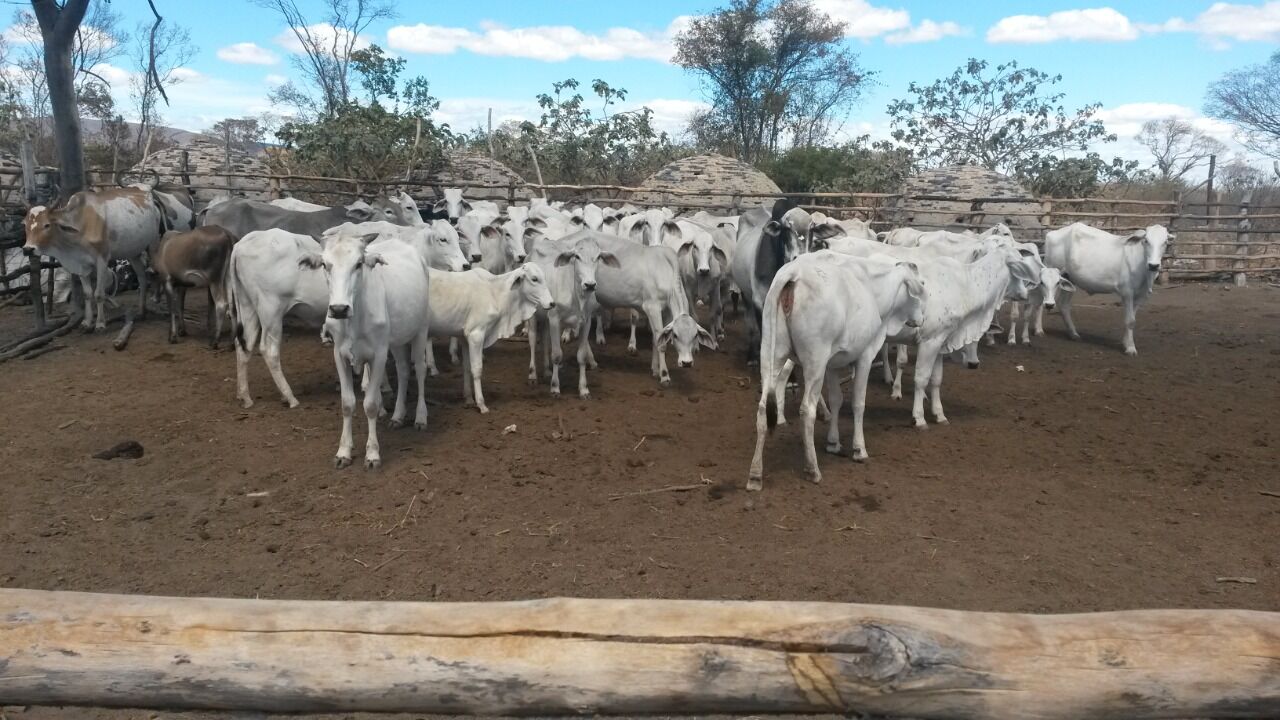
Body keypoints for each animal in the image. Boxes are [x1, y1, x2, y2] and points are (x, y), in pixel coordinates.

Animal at [309, 226, 435, 468]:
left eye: (359, 263)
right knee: (403, 370)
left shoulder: (378, 354)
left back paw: (421, 417)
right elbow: (347, 403)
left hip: (421, 329)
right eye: (325, 265)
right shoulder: (339, 354)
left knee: (420, 369)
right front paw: (343, 452)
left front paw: (372, 454)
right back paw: (398, 416)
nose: (339, 309)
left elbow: (370, 405)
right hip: (395, 339)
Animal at [430, 262, 555, 409]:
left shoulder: (464, 337)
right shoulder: (476, 335)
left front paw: (468, 398)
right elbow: (477, 369)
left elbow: (466, 367)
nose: (552, 303)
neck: (494, 291)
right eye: (534, 279)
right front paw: (481, 404)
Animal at [747, 252, 926, 486]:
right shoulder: (864, 356)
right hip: (815, 360)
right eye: (921, 285)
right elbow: (858, 403)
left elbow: (836, 400)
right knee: (806, 409)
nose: (922, 318)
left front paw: (833, 443)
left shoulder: (832, 364)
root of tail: (793, 273)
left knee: (762, 407)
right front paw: (859, 449)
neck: (872, 290)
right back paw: (812, 469)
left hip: (771, 352)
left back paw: (755, 475)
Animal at [1039, 219, 1172, 353]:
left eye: (1165, 242)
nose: (1154, 265)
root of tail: (1052, 233)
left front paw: (1126, 342)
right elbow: (1129, 320)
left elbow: (1133, 320)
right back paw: (1039, 331)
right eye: (1146, 241)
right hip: (1049, 271)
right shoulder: (1127, 292)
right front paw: (1130, 348)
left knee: (1063, 304)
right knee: (1041, 302)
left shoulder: (1142, 295)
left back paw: (1073, 334)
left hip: (1069, 279)